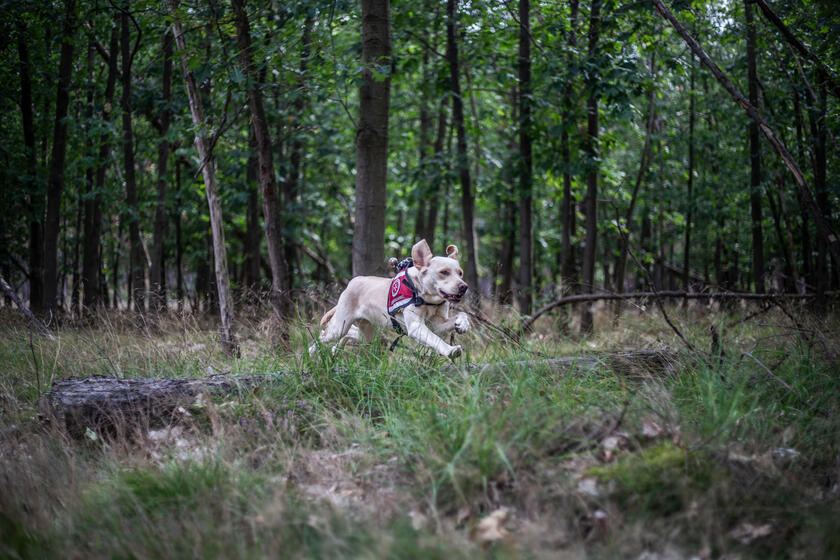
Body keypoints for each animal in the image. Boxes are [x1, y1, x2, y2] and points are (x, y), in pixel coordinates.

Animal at [309, 239, 470, 358]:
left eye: (460, 273)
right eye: (444, 272)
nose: (464, 287)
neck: (428, 299)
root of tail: (351, 283)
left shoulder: (437, 324)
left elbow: (461, 314)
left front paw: (462, 324)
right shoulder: (416, 326)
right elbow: (436, 339)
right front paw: (450, 350)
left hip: (366, 333)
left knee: (350, 333)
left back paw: (335, 349)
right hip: (339, 327)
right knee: (324, 334)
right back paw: (312, 351)